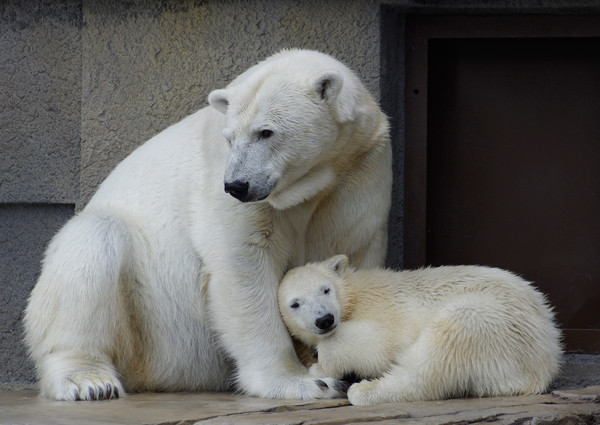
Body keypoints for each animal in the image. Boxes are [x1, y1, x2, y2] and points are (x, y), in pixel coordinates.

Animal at [23, 50, 392, 400]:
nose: (236, 185)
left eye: (266, 132)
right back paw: (89, 380)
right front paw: (304, 382)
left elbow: (350, 250)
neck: (309, 186)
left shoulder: (358, 168)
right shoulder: (224, 178)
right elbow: (241, 264)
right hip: (151, 324)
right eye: (231, 138)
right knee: (92, 244)